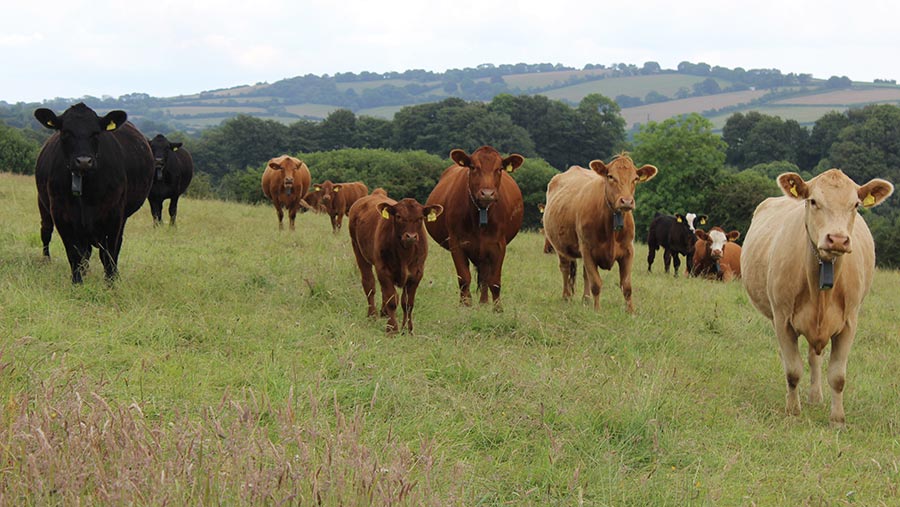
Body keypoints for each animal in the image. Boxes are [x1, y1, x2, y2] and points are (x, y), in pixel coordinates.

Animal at [34, 104, 155, 286]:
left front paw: (111, 283)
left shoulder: (114, 214)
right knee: (46, 232)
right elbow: (74, 253)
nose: (84, 161)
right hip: (43, 205)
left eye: (96, 133)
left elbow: (109, 252)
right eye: (66, 132)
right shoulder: (61, 214)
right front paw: (77, 283)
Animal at [348, 190, 442, 334]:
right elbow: (392, 301)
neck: (405, 254)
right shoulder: (383, 269)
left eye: (420, 218)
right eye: (398, 216)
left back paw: (383, 312)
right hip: (358, 250)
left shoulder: (417, 273)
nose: (411, 236)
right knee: (369, 284)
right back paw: (372, 315)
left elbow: (407, 303)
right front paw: (392, 329)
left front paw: (408, 330)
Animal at [424, 145, 524, 308]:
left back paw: (483, 302)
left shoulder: (498, 245)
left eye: (499, 169)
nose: (487, 194)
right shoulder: (456, 243)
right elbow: (464, 278)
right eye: (473, 167)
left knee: (484, 276)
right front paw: (465, 305)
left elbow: (494, 281)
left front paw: (498, 309)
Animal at [536, 154, 656, 314]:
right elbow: (596, 284)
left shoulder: (628, 250)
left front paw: (631, 312)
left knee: (584, 273)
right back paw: (566, 297)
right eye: (610, 176)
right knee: (565, 268)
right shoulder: (587, 249)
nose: (626, 201)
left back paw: (586, 299)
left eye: (635, 178)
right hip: (560, 247)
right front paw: (597, 310)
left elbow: (627, 286)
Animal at [744, 170, 892, 424]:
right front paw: (793, 411)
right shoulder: (782, 318)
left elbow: (838, 376)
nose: (838, 239)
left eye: (855, 204)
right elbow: (793, 370)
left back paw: (815, 397)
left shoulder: (849, 322)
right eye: (813, 201)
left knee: (815, 358)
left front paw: (838, 419)